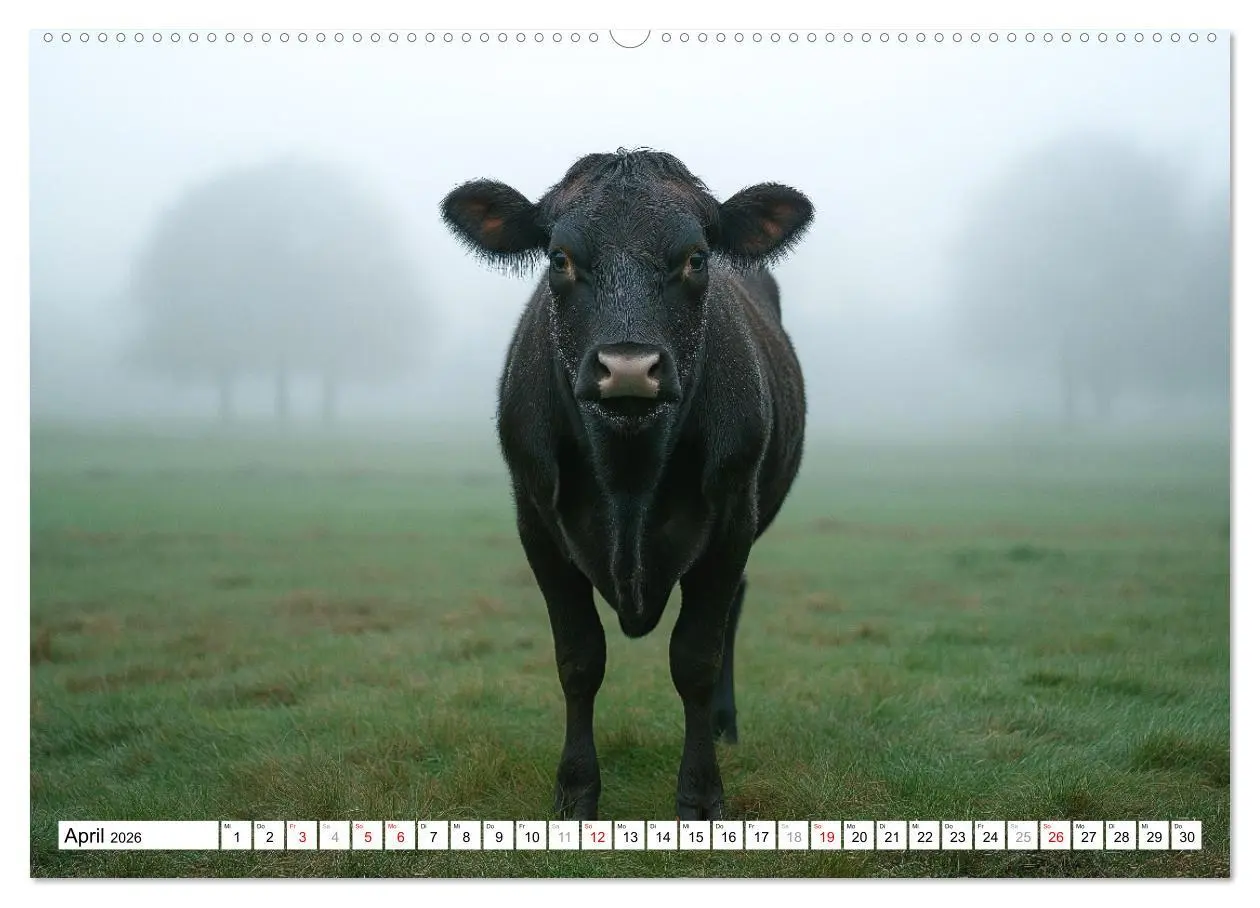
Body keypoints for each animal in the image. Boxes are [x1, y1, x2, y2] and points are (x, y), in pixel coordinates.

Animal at [440, 149, 813, 820]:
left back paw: (724, 724)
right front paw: (575, 792)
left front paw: (701, 795)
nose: (630, 367)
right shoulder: (536, 521)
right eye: (559, 258)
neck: (629, 473)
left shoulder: (731, 517)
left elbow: (695, 656)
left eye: (696, 258)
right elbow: (579, 658)